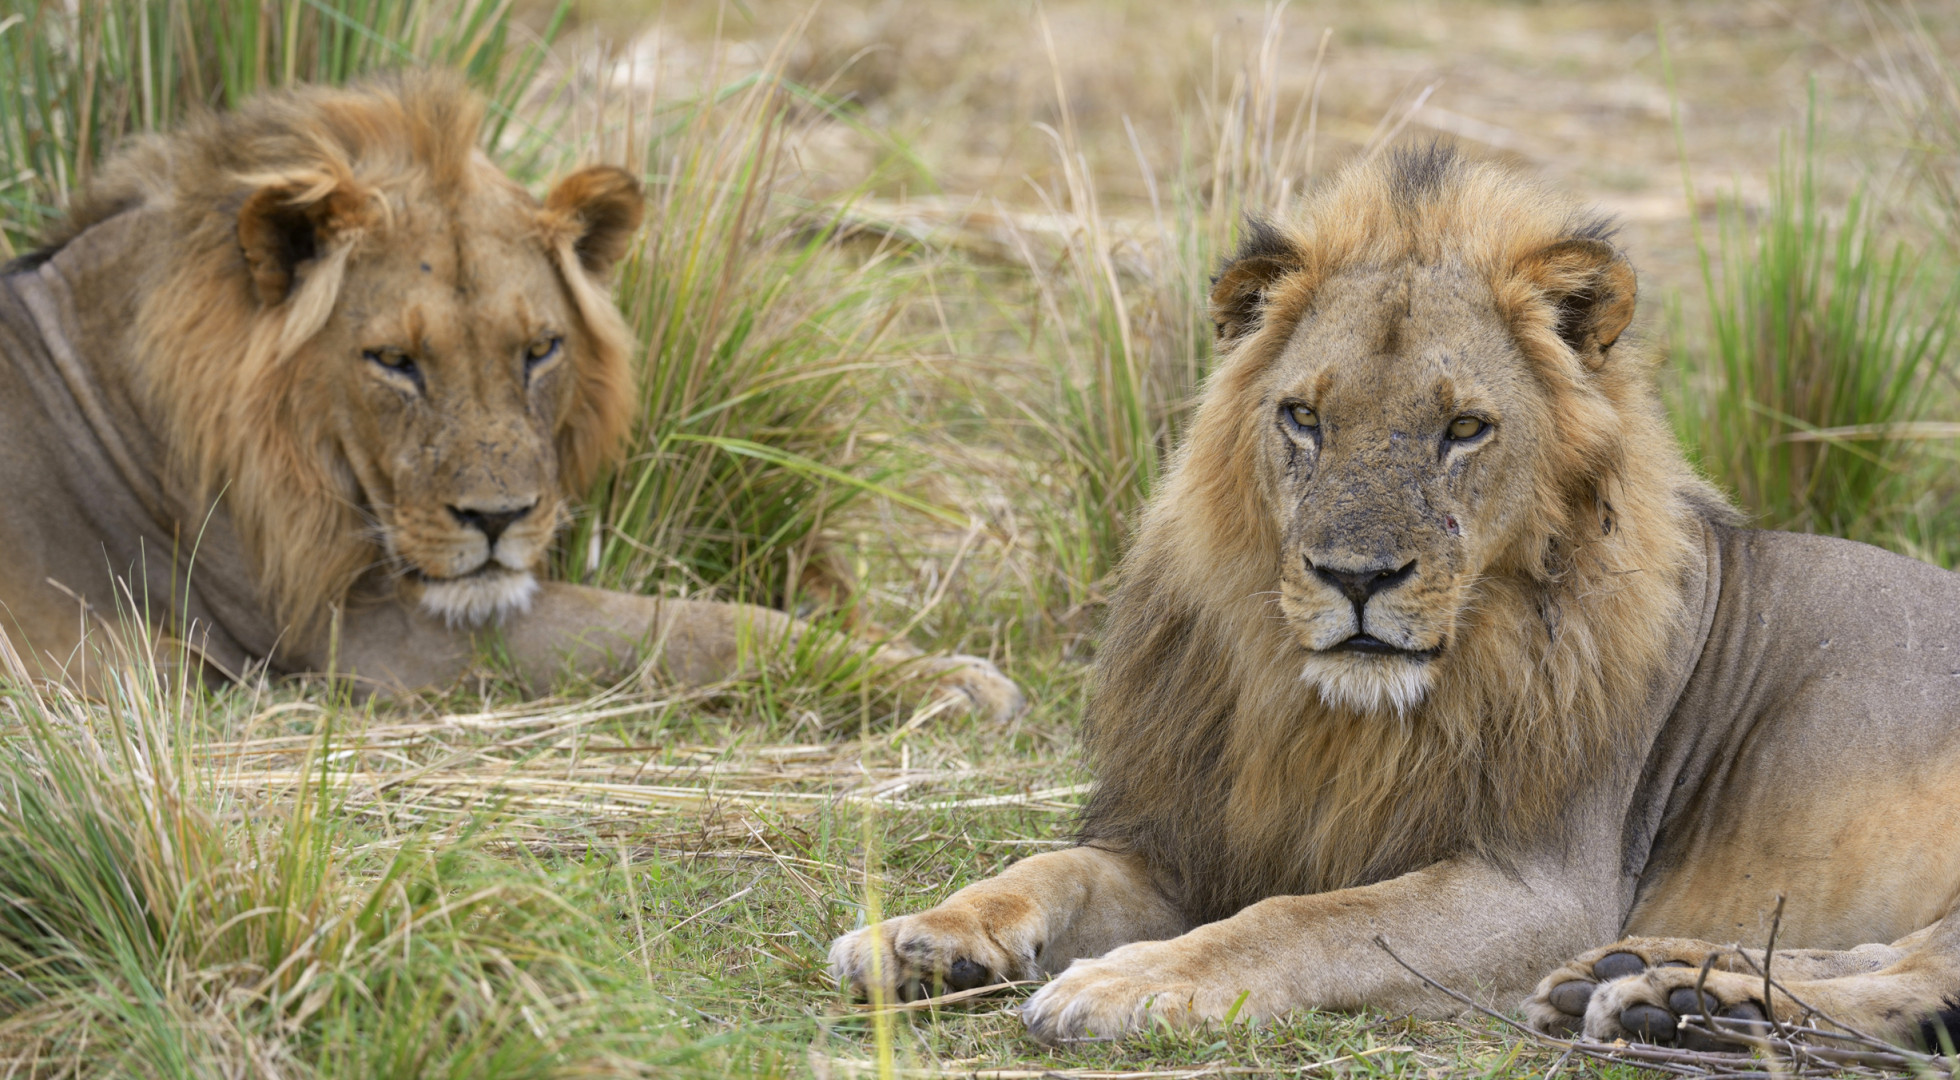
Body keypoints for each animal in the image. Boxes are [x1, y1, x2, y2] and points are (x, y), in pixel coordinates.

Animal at [0, 73, 1021, 719]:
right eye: (393, 360)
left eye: (540, 350)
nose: (497, 520)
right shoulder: (358, 637)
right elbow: (687, 627)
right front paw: (945, 679)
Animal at [828, 144, 1960, 1048]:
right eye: (1303, 418)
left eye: (1463, 429)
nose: (1357, 577)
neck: (1341, 722)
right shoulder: (1196, 837)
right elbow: (1047, 867)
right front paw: (920, 935)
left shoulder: (1546, 884)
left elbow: (1307, 917)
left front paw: (1130, 981)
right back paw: (1647, 980)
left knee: (1922, 983)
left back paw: (1683, 1006)